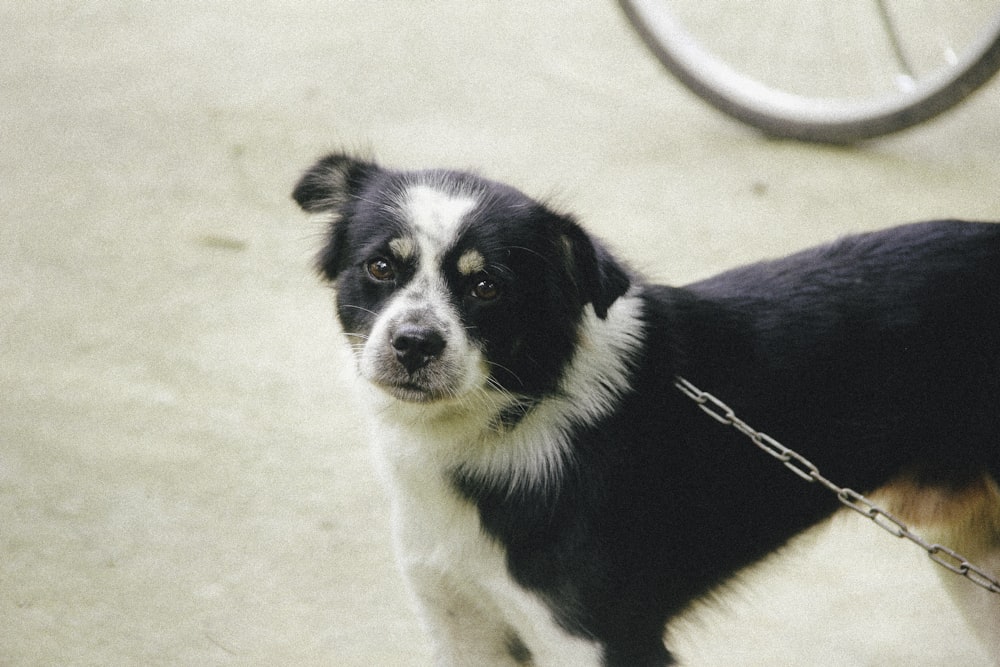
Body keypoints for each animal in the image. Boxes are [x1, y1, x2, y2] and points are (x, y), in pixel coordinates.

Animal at [292, 154, 1000, 664]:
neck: (516, 416)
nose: (413, 345)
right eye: (380, 267)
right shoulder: (462, 626)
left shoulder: (604, 641)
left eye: (487, 285)